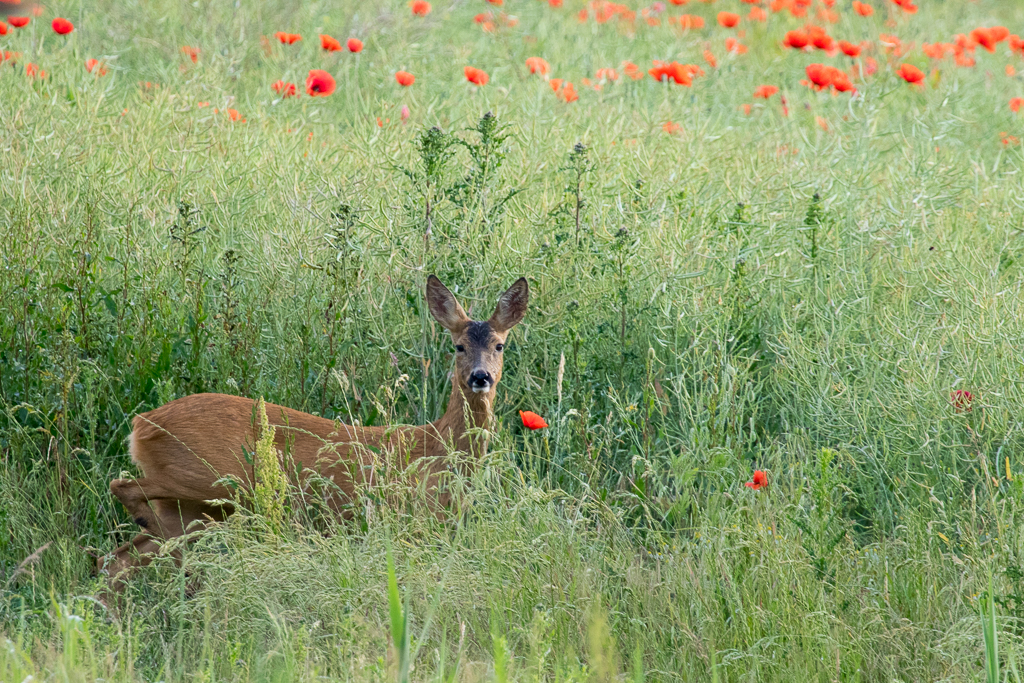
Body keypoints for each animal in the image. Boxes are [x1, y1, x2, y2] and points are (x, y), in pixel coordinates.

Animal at [97, 278, 528, 589]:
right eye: (458, 346)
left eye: (500, 346)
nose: (480, 377)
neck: (439, 449)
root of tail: (141, 425)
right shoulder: (414, 519)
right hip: (211, 477)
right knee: (124, 490)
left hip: (197, 506)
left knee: (115, 559)